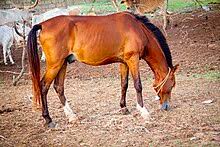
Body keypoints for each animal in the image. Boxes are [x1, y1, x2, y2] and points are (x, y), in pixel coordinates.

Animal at [27, 11, 179, 127]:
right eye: (171, 85)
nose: (166, 107)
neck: (138, 29)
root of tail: (42, 25)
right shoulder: (133, 59)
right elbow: (138, 85)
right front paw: (143, 111)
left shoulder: (124, 62)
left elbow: (124, 84)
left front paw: (124, 108)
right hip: (55, 64)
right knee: (43, 86)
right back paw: (48, 119)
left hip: (63, 63)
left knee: (59, 87)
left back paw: (72, 116)